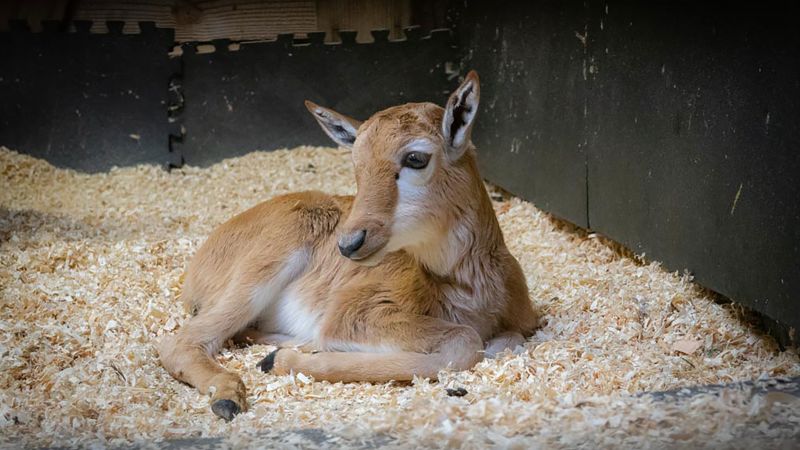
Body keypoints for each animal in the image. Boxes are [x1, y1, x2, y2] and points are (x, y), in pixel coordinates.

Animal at [158, 72, 536, 420]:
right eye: (357, 165)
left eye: (415, 158)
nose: (350, 242)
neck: (471, 290)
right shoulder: (353, 314)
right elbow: (465, 343)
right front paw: (276, 362)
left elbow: (503, 342)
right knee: (181, 342)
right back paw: (231, 395)